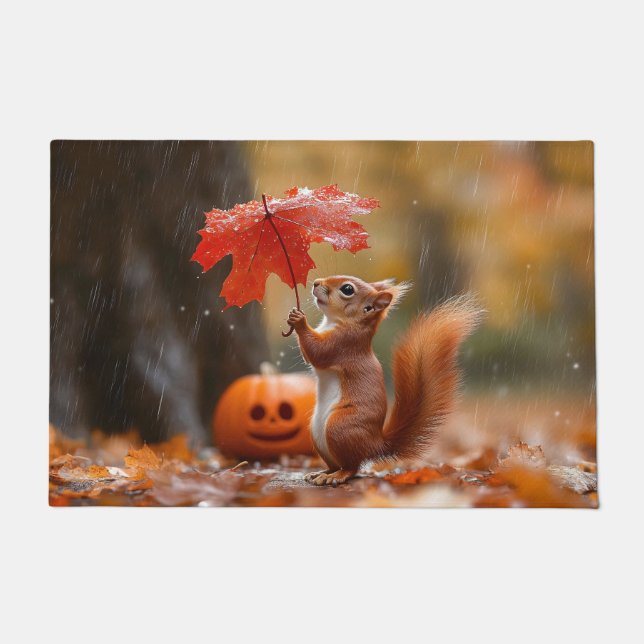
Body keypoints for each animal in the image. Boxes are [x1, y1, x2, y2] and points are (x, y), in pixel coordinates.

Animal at [287, 275, 481, 486]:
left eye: (347, 289)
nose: (316, 283)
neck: (341, 322)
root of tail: (374, 445)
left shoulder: (343, 343)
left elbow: (318, 352)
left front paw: (299, 320)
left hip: (340, 427)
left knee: (351, 467)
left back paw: (334, 477)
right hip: (316, 431)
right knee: (339, 464)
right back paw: (321, 473)